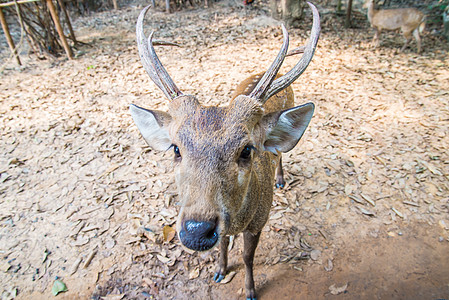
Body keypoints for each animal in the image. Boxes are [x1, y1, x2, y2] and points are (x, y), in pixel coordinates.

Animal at [128, 2, 320, 298]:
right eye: (176, 149)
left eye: (247, 150)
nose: (196, 231)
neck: (240, 220)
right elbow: (223, 244)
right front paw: (220, 270)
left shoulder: (260, 221)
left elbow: (248, 257)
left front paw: (250, 290)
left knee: (281, 153)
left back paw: (280, 179)